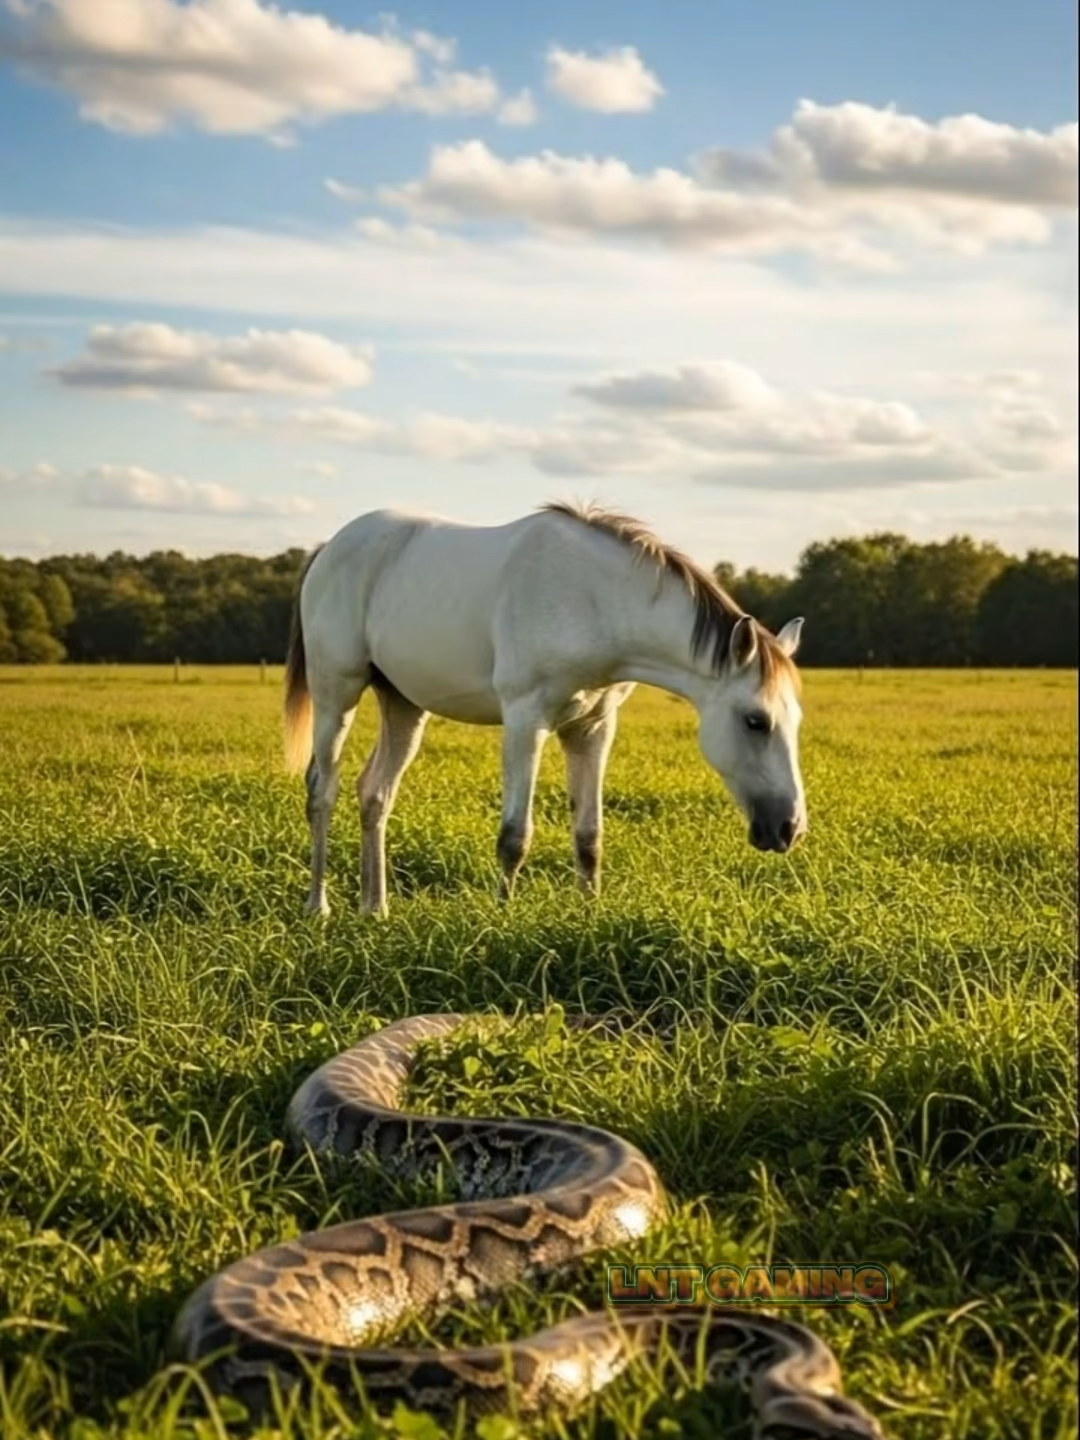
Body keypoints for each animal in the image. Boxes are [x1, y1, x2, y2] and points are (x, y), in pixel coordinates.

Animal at [282, 500, 807, 918]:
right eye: (756, 721)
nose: (789, 828)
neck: (592, 600)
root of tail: (330, 548)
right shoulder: (525, 720)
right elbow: (515, 835)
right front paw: (503, 918)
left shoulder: (593, 728)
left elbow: (589, 835)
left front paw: (589, 914)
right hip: (336, 694)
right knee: (322, 790)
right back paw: (318, 906)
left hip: (403, 705)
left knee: (375, 793)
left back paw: (375, 908)